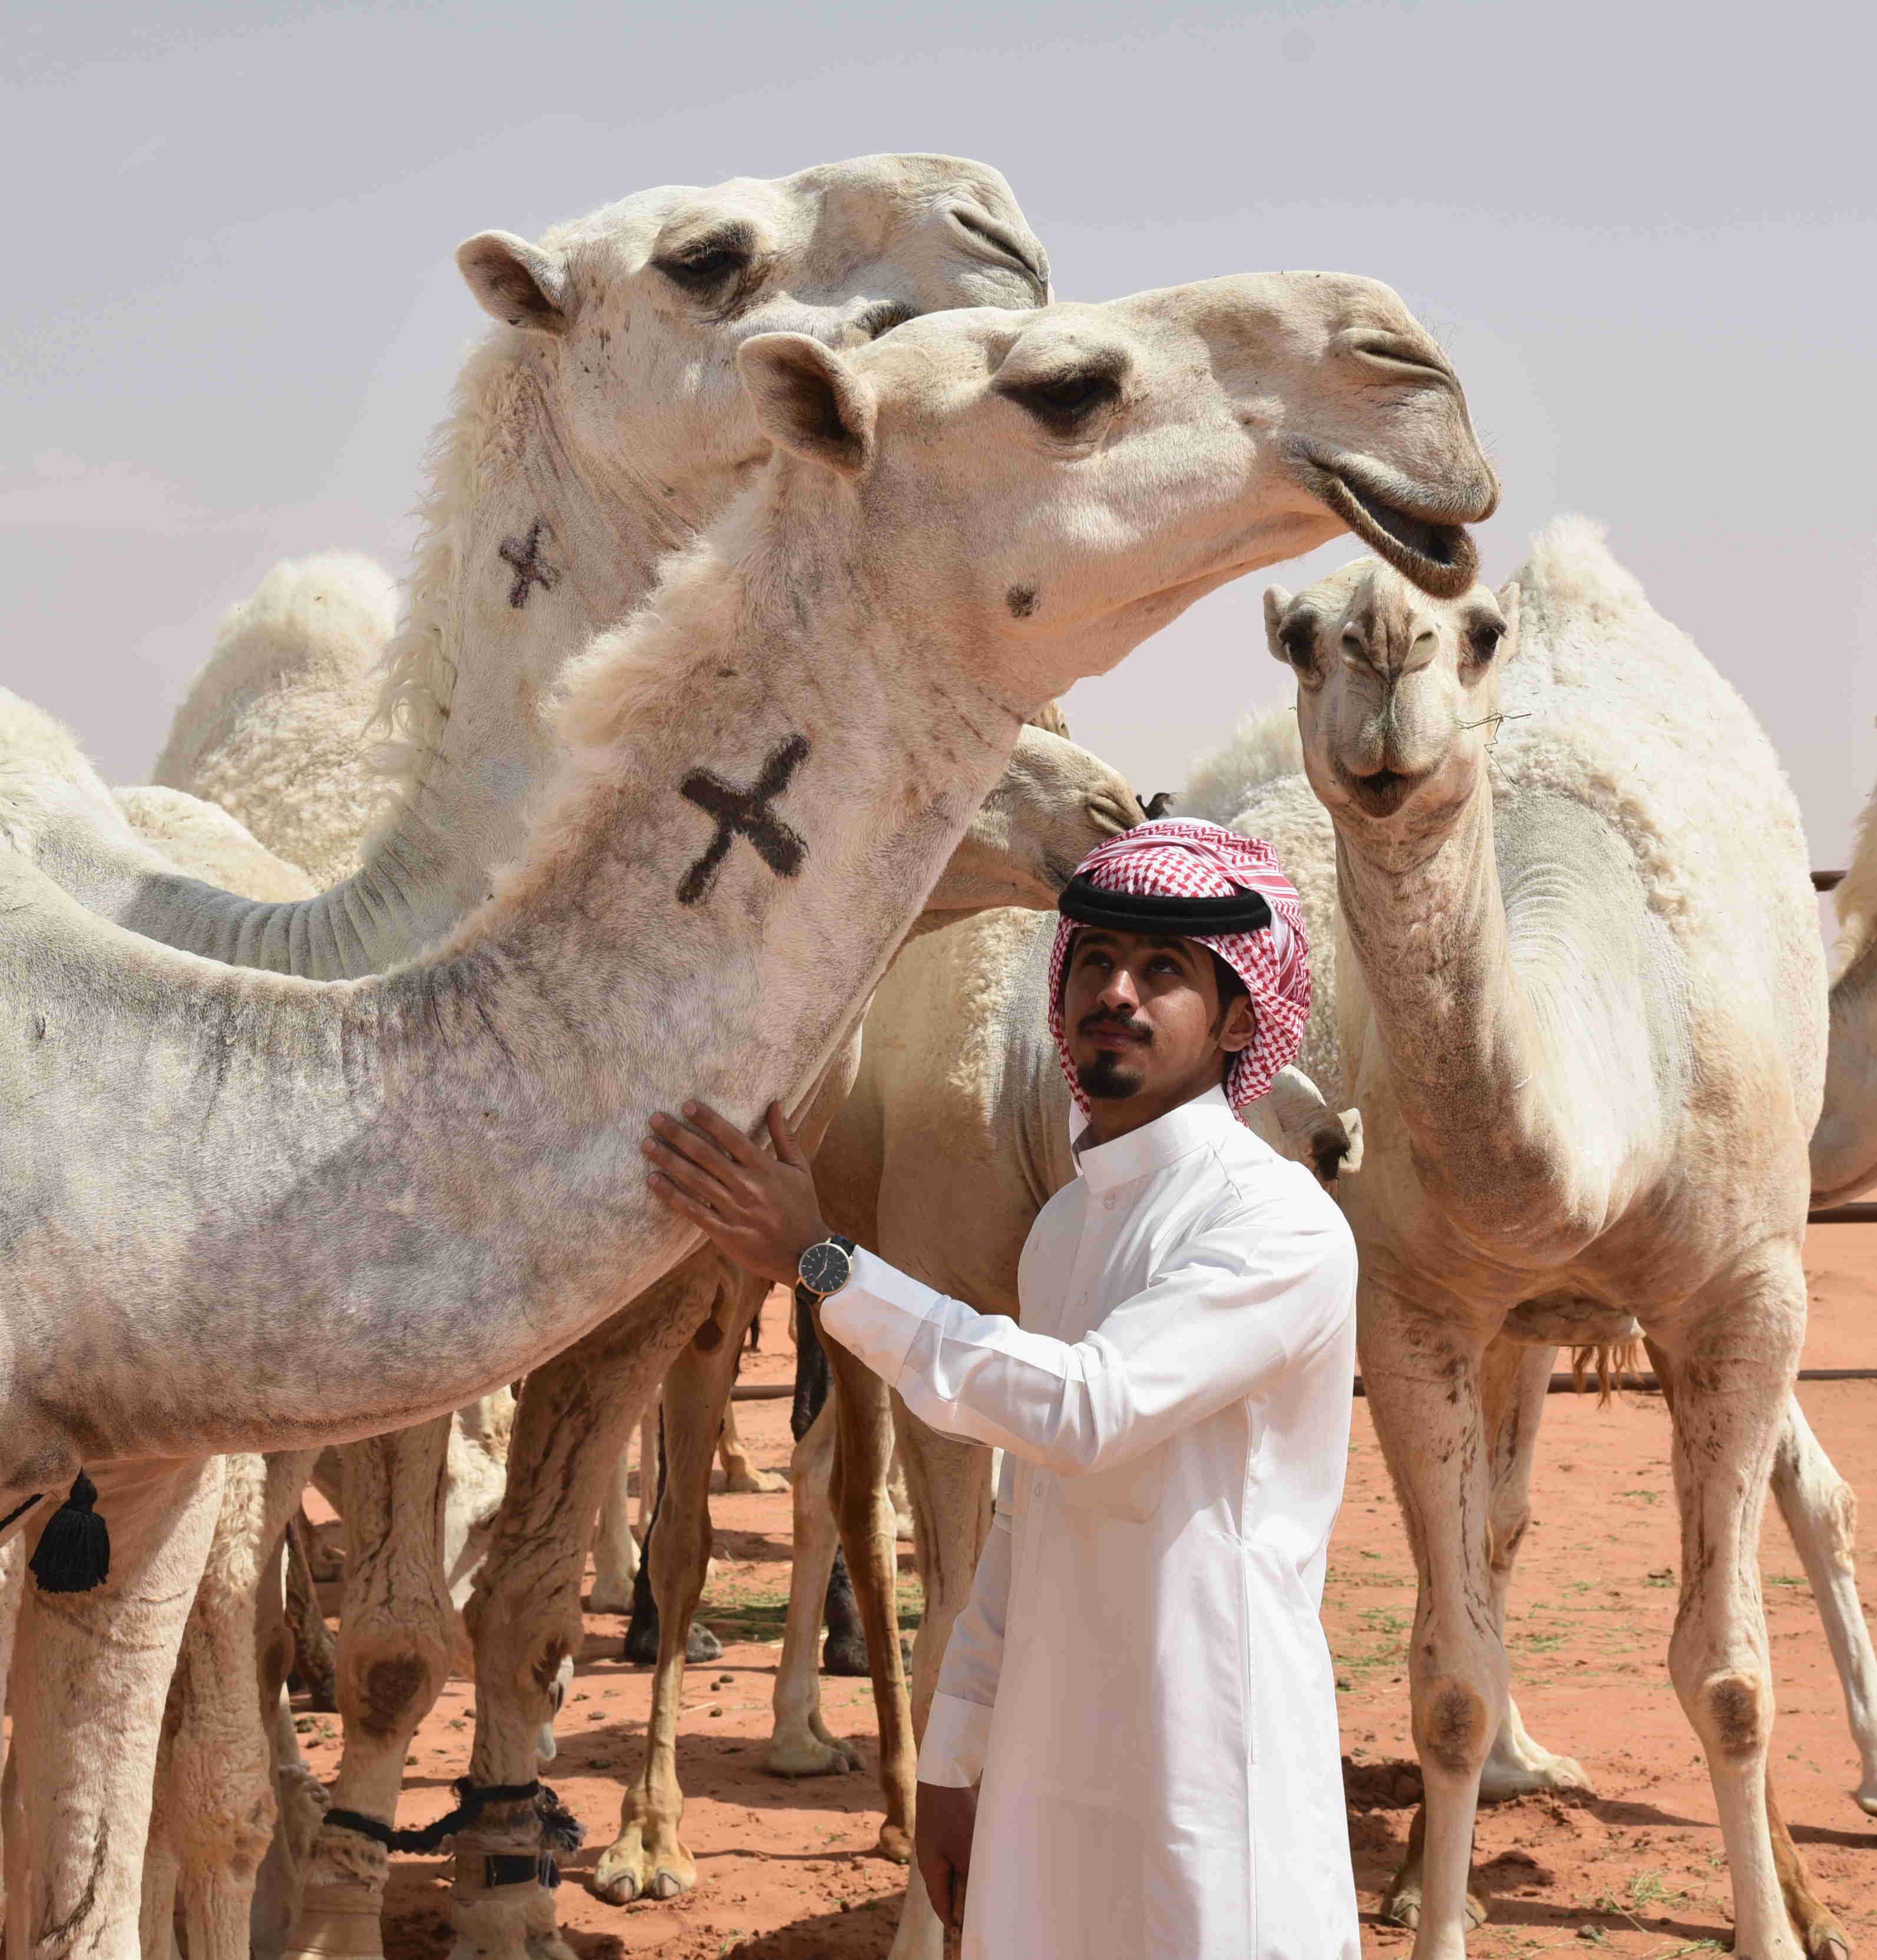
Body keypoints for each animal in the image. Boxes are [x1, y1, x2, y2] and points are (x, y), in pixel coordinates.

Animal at [1261, 525, 1833, 1960]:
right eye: (1297, 637)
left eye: (1475, 633)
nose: (1386, 639)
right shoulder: (1413, 1310)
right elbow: (1447, 1681)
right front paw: (1437, 1914)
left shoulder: (1749, 1295)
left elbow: (1731, 1673)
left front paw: (1771, 1929)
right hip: (1510, 1327)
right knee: (1493, 1541)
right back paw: (1435, 1853)